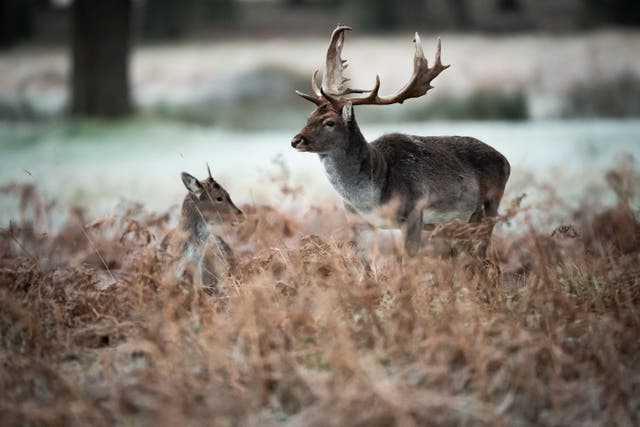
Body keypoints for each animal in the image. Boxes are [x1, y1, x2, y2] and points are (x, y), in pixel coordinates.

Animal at [294, 25, 510, 258]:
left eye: (329, 122)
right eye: (309, 117)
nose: (296, 140)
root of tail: (506, 161)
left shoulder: (414, 211)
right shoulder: (357, 221)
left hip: (488, 208)